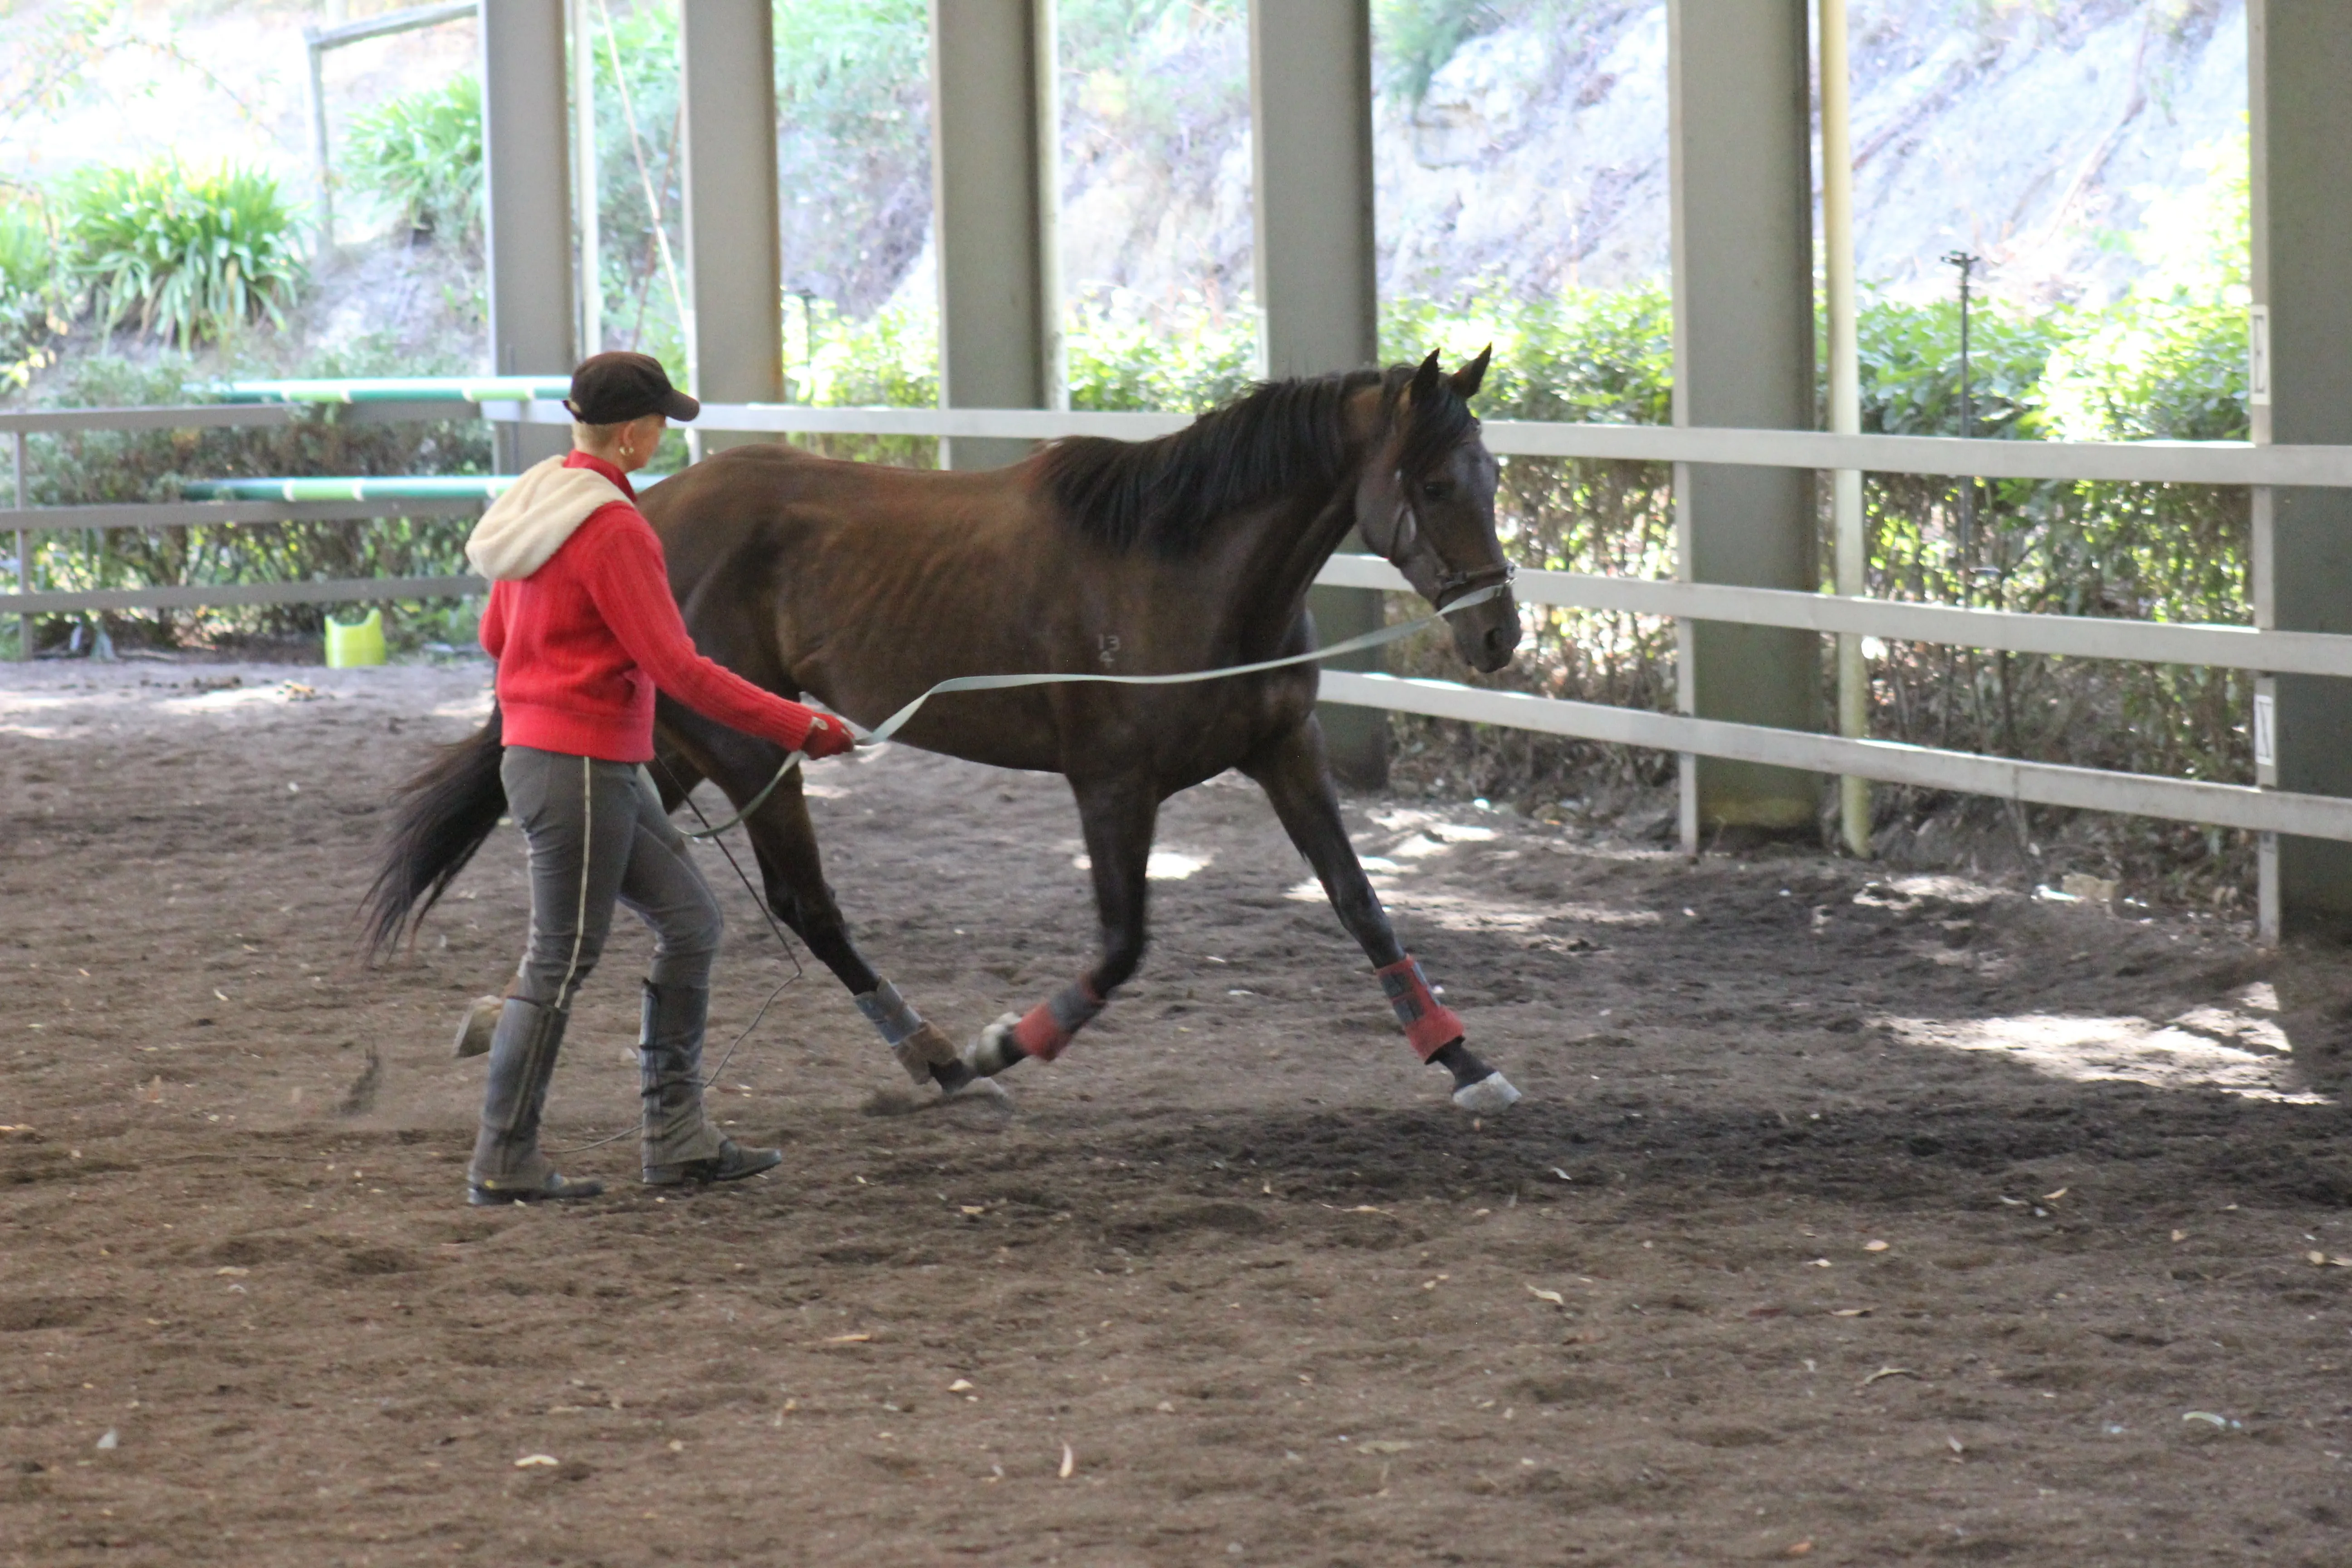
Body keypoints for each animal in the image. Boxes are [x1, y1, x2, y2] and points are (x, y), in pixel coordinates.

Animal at [372, 355, 1524, 1114]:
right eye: (1430, 482)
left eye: (1494, 474)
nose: (1499, 632)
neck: (1174, 568)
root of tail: (645, 515)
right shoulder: (1111, 782)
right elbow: (1121, 946)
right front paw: (1004, 1042)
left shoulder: (1285, 750)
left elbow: (1361, 903)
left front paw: (1464, 1060)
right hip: (753, 751)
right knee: (802, 903)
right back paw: (935, 1057)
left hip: (679, 745)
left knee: (602, 858)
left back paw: (496, 1015)